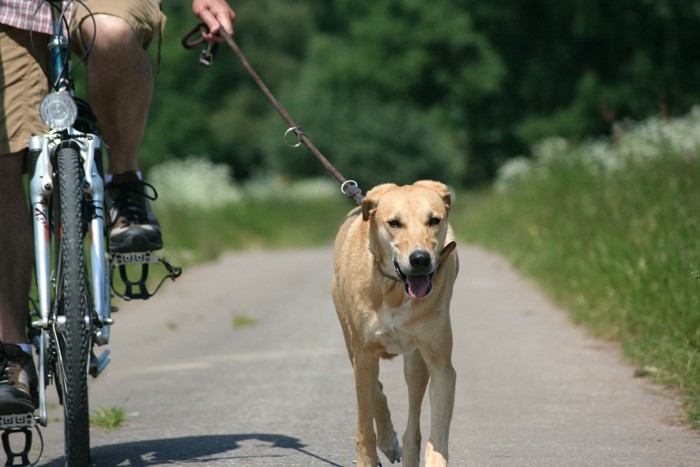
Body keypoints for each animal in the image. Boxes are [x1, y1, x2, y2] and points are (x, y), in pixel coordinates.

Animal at [334, 181, 460, 466]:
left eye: (433, 220)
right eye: (394, 223)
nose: (420, 259)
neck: (394, 289)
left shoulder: (440, 363)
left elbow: (437, 433)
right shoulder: (364, 351)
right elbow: (364, 423)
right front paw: (367, 458)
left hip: (415, 362)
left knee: (412, 416)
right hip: (350, 339)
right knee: (374, 389)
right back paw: (388, 442)